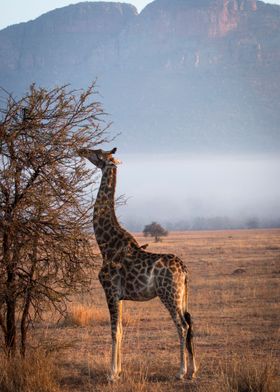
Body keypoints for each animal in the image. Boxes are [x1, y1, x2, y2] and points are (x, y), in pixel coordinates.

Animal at [79, 146, 197, 380]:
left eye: (98, 153)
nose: (81, 150)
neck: (105, 244)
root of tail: (185, 270)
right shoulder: (120, 295)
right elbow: (121, 330)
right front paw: (119, 370)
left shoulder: (110, 290)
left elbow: (114, 331)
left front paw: (111, 374)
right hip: (181, 295)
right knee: (189, 322)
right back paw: (193, 370)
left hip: (169, 294)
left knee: (182, 326)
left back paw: (181, 372)